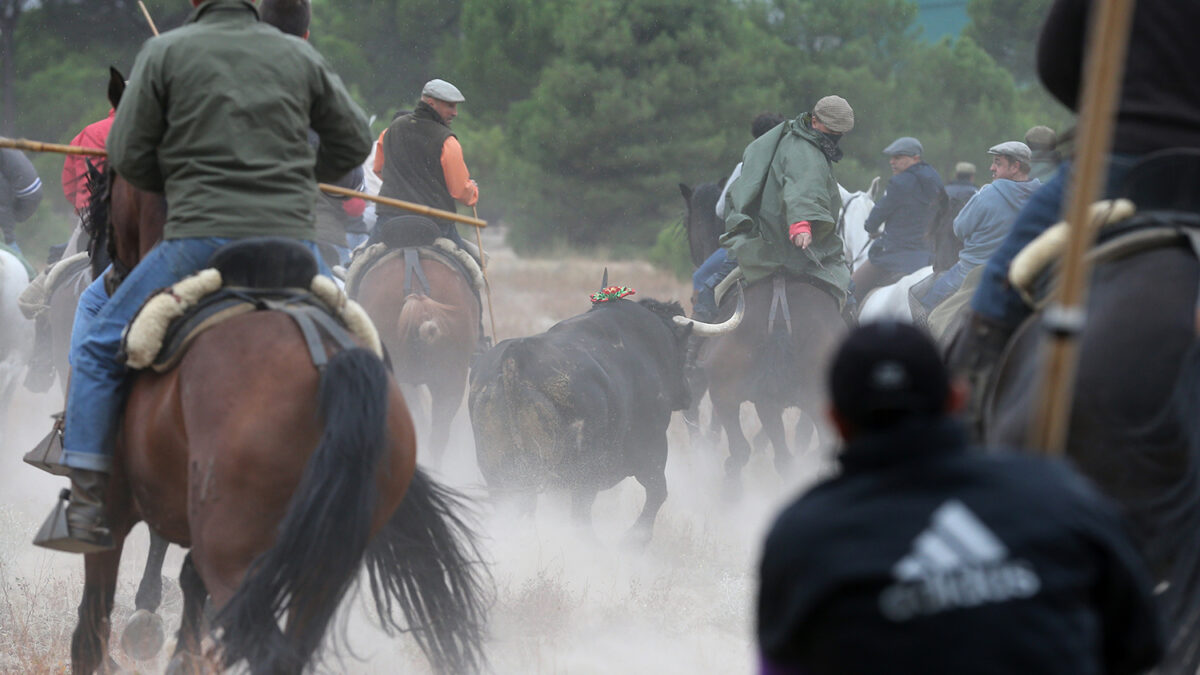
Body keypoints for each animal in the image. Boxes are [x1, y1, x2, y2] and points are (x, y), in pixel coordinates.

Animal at [468, 294, 696, 540]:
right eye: (685, 351)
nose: (687, 394)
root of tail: (515, 357)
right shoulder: (652, 450)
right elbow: (658, 493)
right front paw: (632, 541)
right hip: (580, 475)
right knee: (581, 516)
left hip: (500, 473)